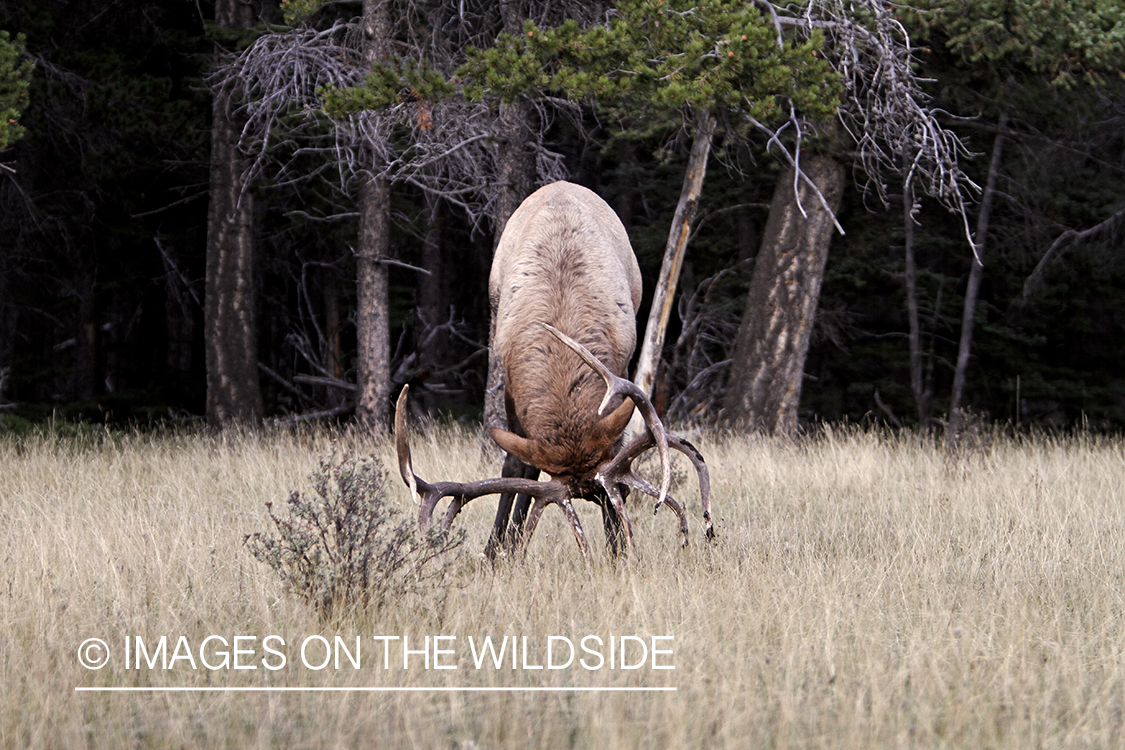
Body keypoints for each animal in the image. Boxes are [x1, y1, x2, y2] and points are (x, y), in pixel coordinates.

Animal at [396, 179, 711, 557]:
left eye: (614, 492)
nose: (595, 495)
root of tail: (561, 183)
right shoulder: (510, 385)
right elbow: (515, 464)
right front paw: (496, 549)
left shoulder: (619, 377)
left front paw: (616, 546)